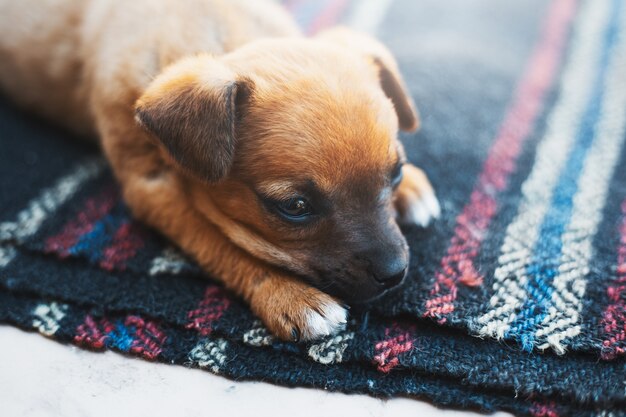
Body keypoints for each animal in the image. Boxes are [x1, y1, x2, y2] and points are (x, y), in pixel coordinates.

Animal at [0, 0, 438, 340]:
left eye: (396, 173)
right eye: (295, 207)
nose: (395, 273)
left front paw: (415, 188)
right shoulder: (152, 187)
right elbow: (221, 245)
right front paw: (292, 297)